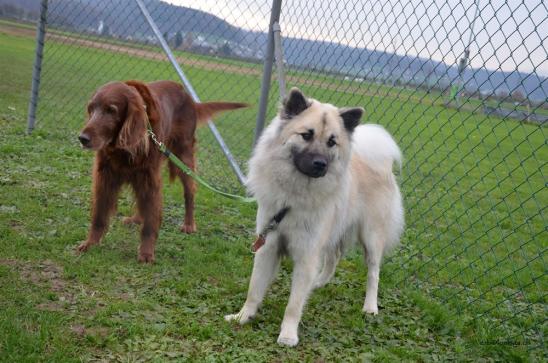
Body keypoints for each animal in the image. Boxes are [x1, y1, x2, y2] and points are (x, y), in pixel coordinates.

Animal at [77, 81, 246, 264]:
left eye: (111, 110)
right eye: (91, 108)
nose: (82, 138)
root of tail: (188, 98)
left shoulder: (150, 178)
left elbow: (150, 222)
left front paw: (146, 253)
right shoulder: (105, 177)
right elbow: (99, 216)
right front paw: (90, 243)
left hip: (184, 158)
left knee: (189, 193)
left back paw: (189, 224)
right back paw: (137, 219)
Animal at [225, 88, 404, 346]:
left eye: (332, 142)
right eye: (306, 135)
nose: (320, 164)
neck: (294, 194)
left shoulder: (307, 254)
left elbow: (294, 304)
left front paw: (288, 334)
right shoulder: (268, 246)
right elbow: (254, 289)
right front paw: (243, 316)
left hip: (371, 238)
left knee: (373, 272)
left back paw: (370, 306)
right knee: (334, 256)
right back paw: (319, 282)